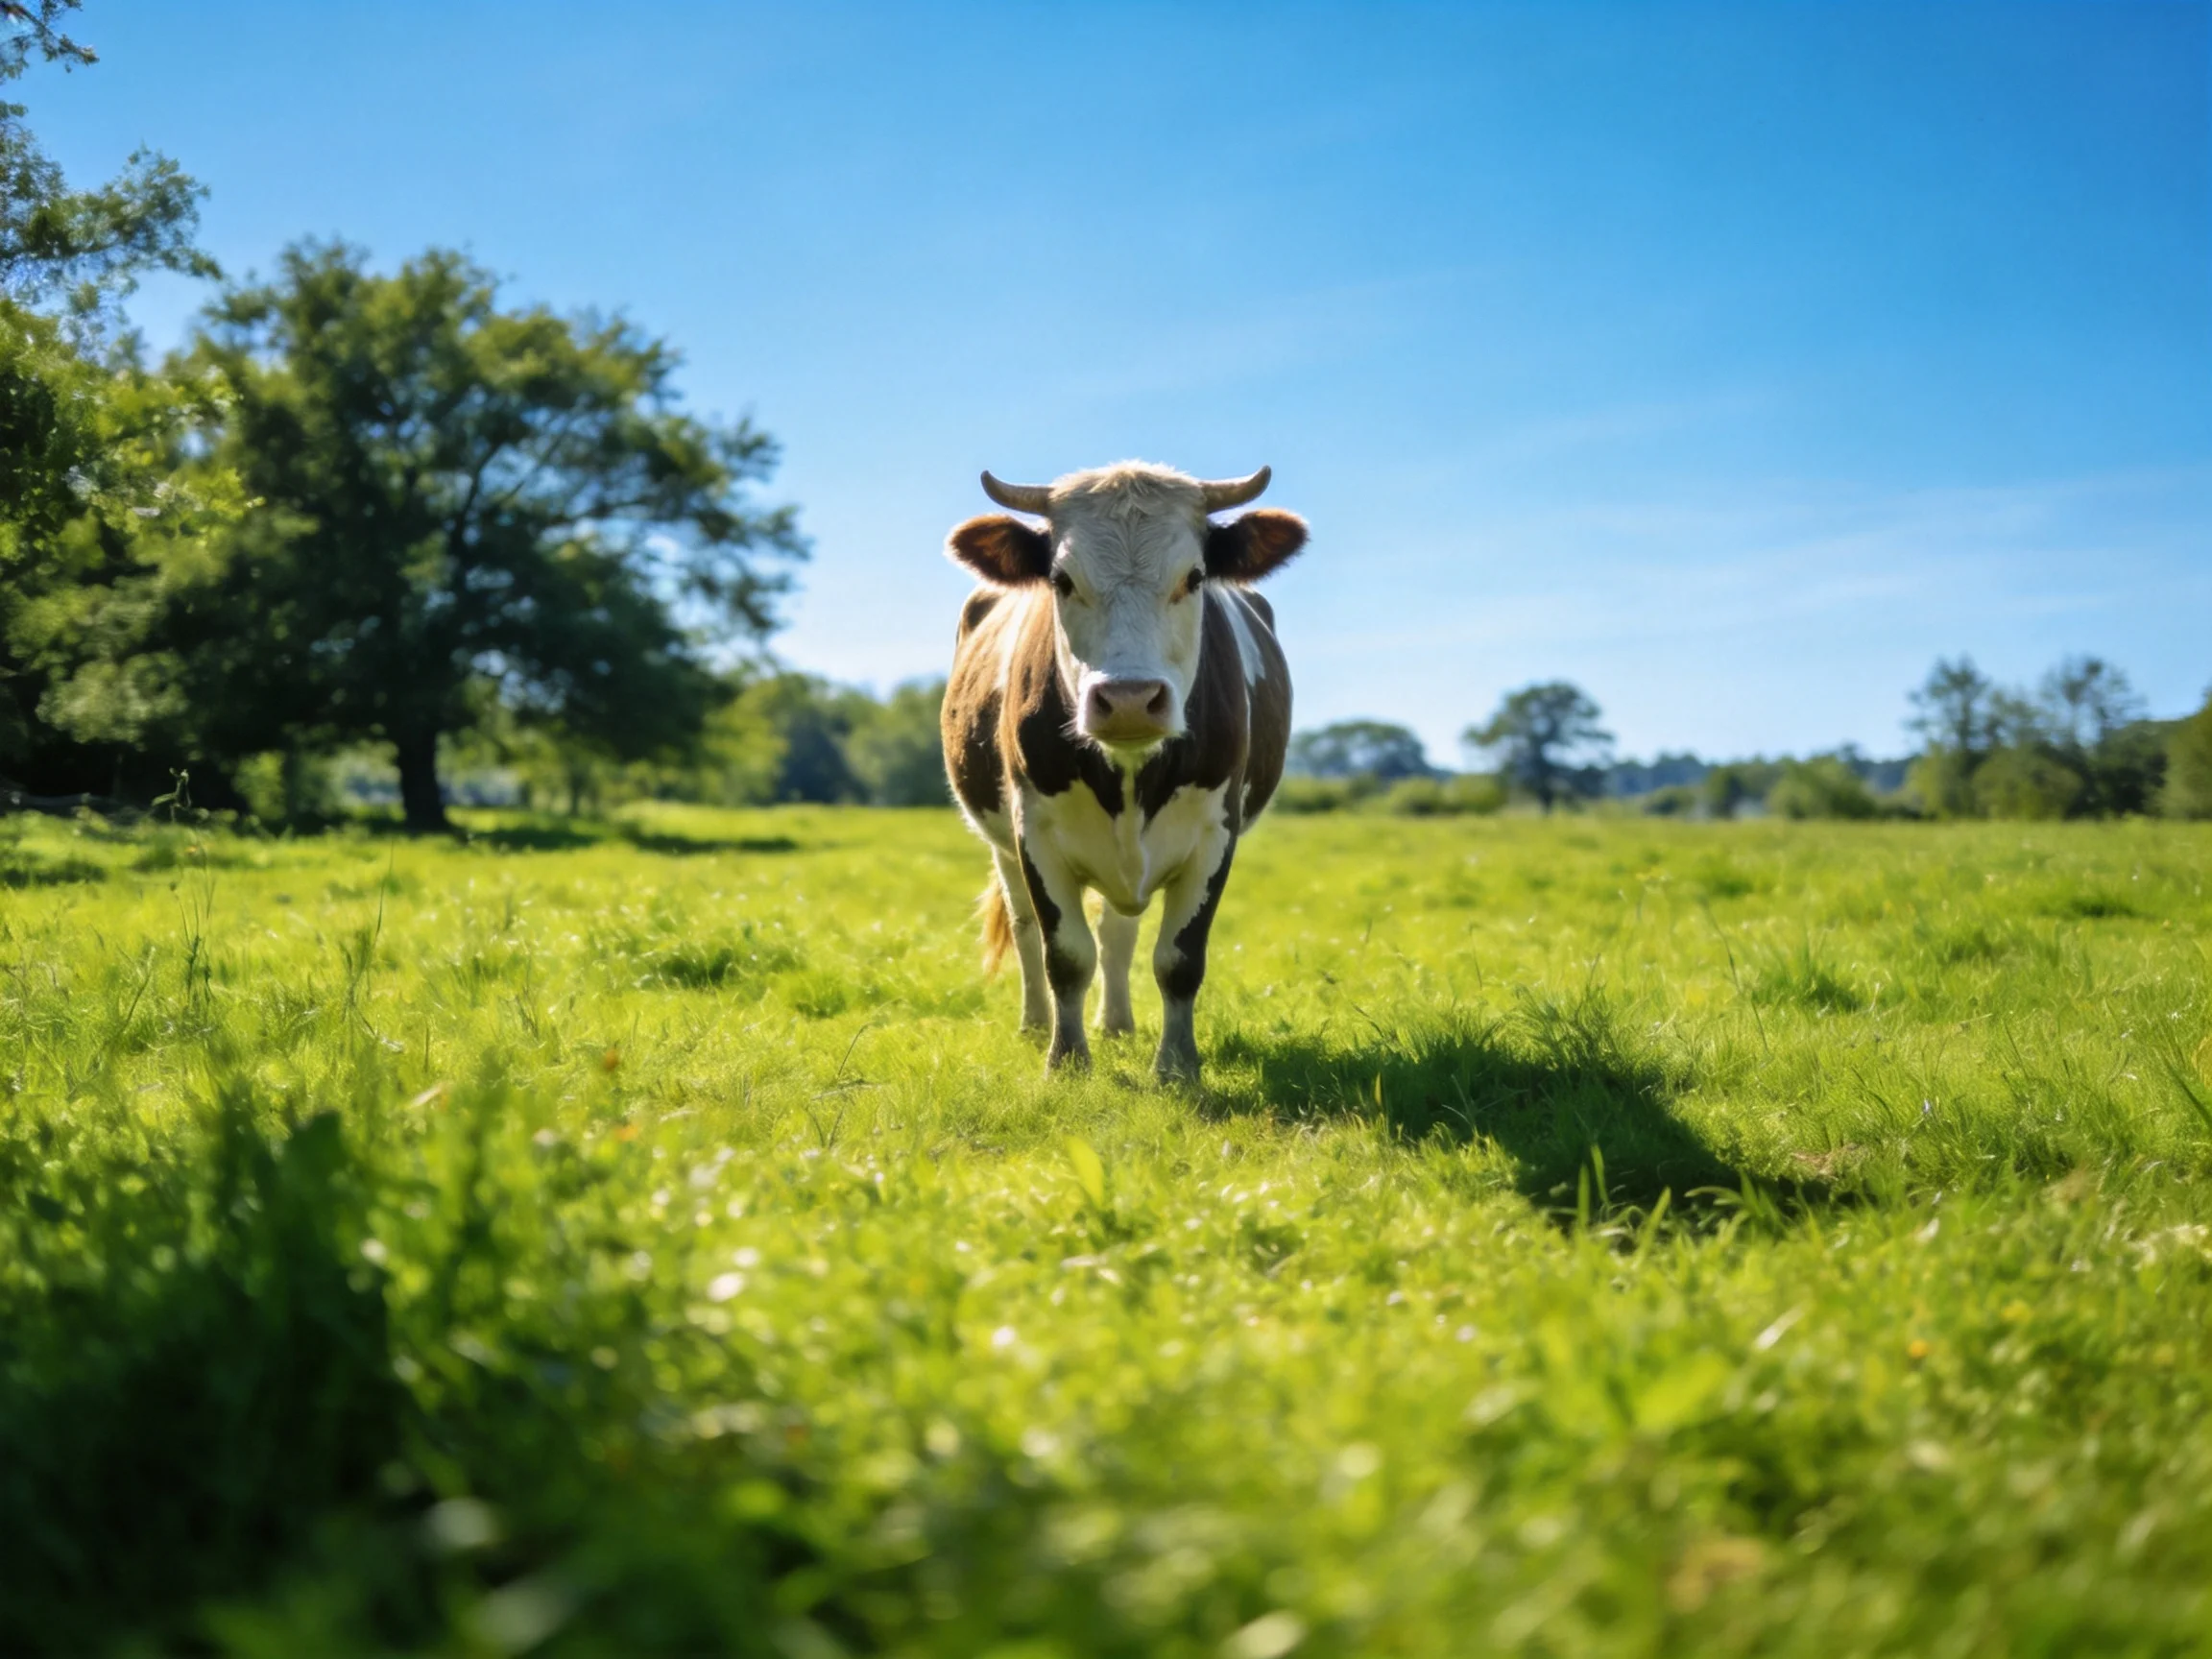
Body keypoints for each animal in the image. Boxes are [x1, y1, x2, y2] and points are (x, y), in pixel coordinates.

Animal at [939, 461, 1306, 1084]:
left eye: (1195, 577)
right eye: (1061, 579)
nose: (1130, 700)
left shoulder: (1216, 833)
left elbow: (1179, 959)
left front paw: (1177, 1067)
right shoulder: (1034, 832)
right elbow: (1065, 954)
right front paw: (1065, 1061)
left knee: (1117, 933)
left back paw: (1117, 1025)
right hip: (1000, 843)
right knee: (1026, 927)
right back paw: (1034, 1025)